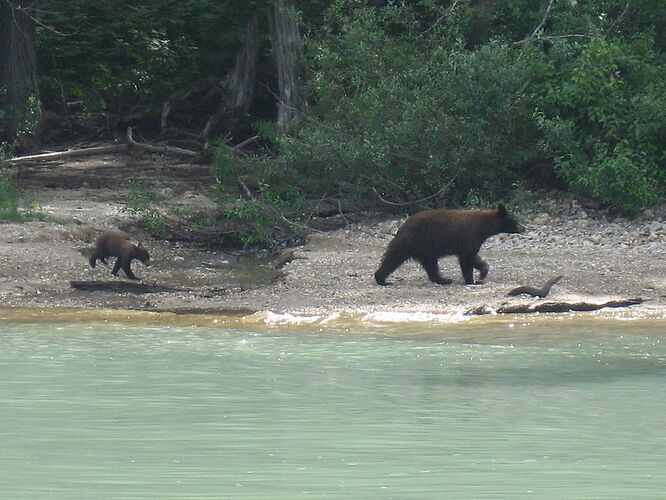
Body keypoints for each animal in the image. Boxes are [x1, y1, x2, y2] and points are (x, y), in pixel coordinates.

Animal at [374, 205, 524, 286]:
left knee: (431, 266)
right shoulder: (469, 236)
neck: (484, 228)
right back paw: (381, 279)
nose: (524, 227)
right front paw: (471, 280)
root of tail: (403, 225)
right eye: (515, 220)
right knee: (393, 258)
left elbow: (474, 257)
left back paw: (444, 279)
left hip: (426, 249)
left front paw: (483, 271)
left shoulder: (470, 241)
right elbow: (467, 259)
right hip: (410, 241)